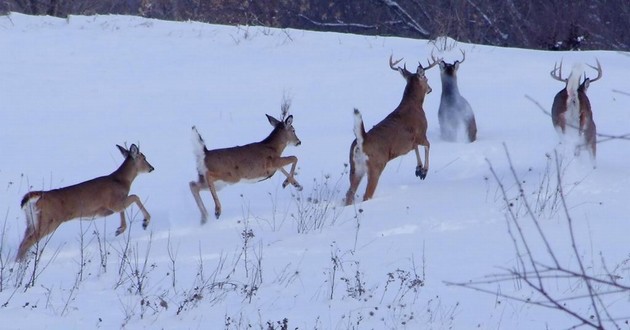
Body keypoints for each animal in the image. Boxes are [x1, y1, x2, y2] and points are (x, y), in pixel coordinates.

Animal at [16, 144, 155, 260]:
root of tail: (37, 196)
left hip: (31, 221)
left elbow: (124, 208)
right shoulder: (113, 203)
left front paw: (120, 229)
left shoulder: (116, 204)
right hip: (49, 220)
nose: (152, 168)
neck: (121, 181)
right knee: (27, 242)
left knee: (23, 241)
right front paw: (145, 222)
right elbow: (135, 197)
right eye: (144, 157)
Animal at [346, 54, 440, 205]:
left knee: (349, 194)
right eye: (426, 78)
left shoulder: (411, 141)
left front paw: (418, 169)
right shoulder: (421, 133)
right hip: (376, 166)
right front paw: (423, 171)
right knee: (367, 195)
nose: (430, 89)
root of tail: (362, 140)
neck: (414, 104)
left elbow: (415, 148)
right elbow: (427, 145)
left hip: (354, 168)